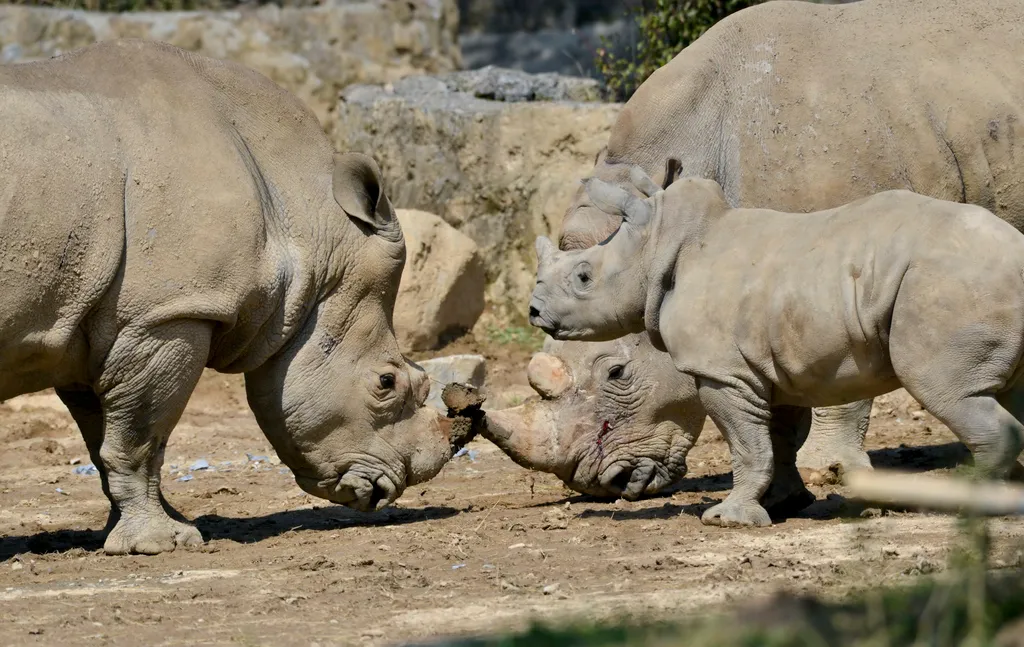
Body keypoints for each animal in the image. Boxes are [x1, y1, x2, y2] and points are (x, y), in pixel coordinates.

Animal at [0, 41, 468, 556]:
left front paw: (147, 530)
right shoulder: (168, 314)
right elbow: (141, 438)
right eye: (386, 383)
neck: (304, 221)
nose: (390, 489)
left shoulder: (97, 327)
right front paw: (163, 543)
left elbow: (105, 436)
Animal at [532, 177, 1024, 524]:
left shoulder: (722, 372)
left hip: (946, 283)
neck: (654, 245)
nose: (534, 310)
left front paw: (728, 519)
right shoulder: (772, 362)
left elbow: (747, 444)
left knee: (946, 390)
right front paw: (781, 503)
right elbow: (776, 437)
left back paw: (966, 497)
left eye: (583, 278)